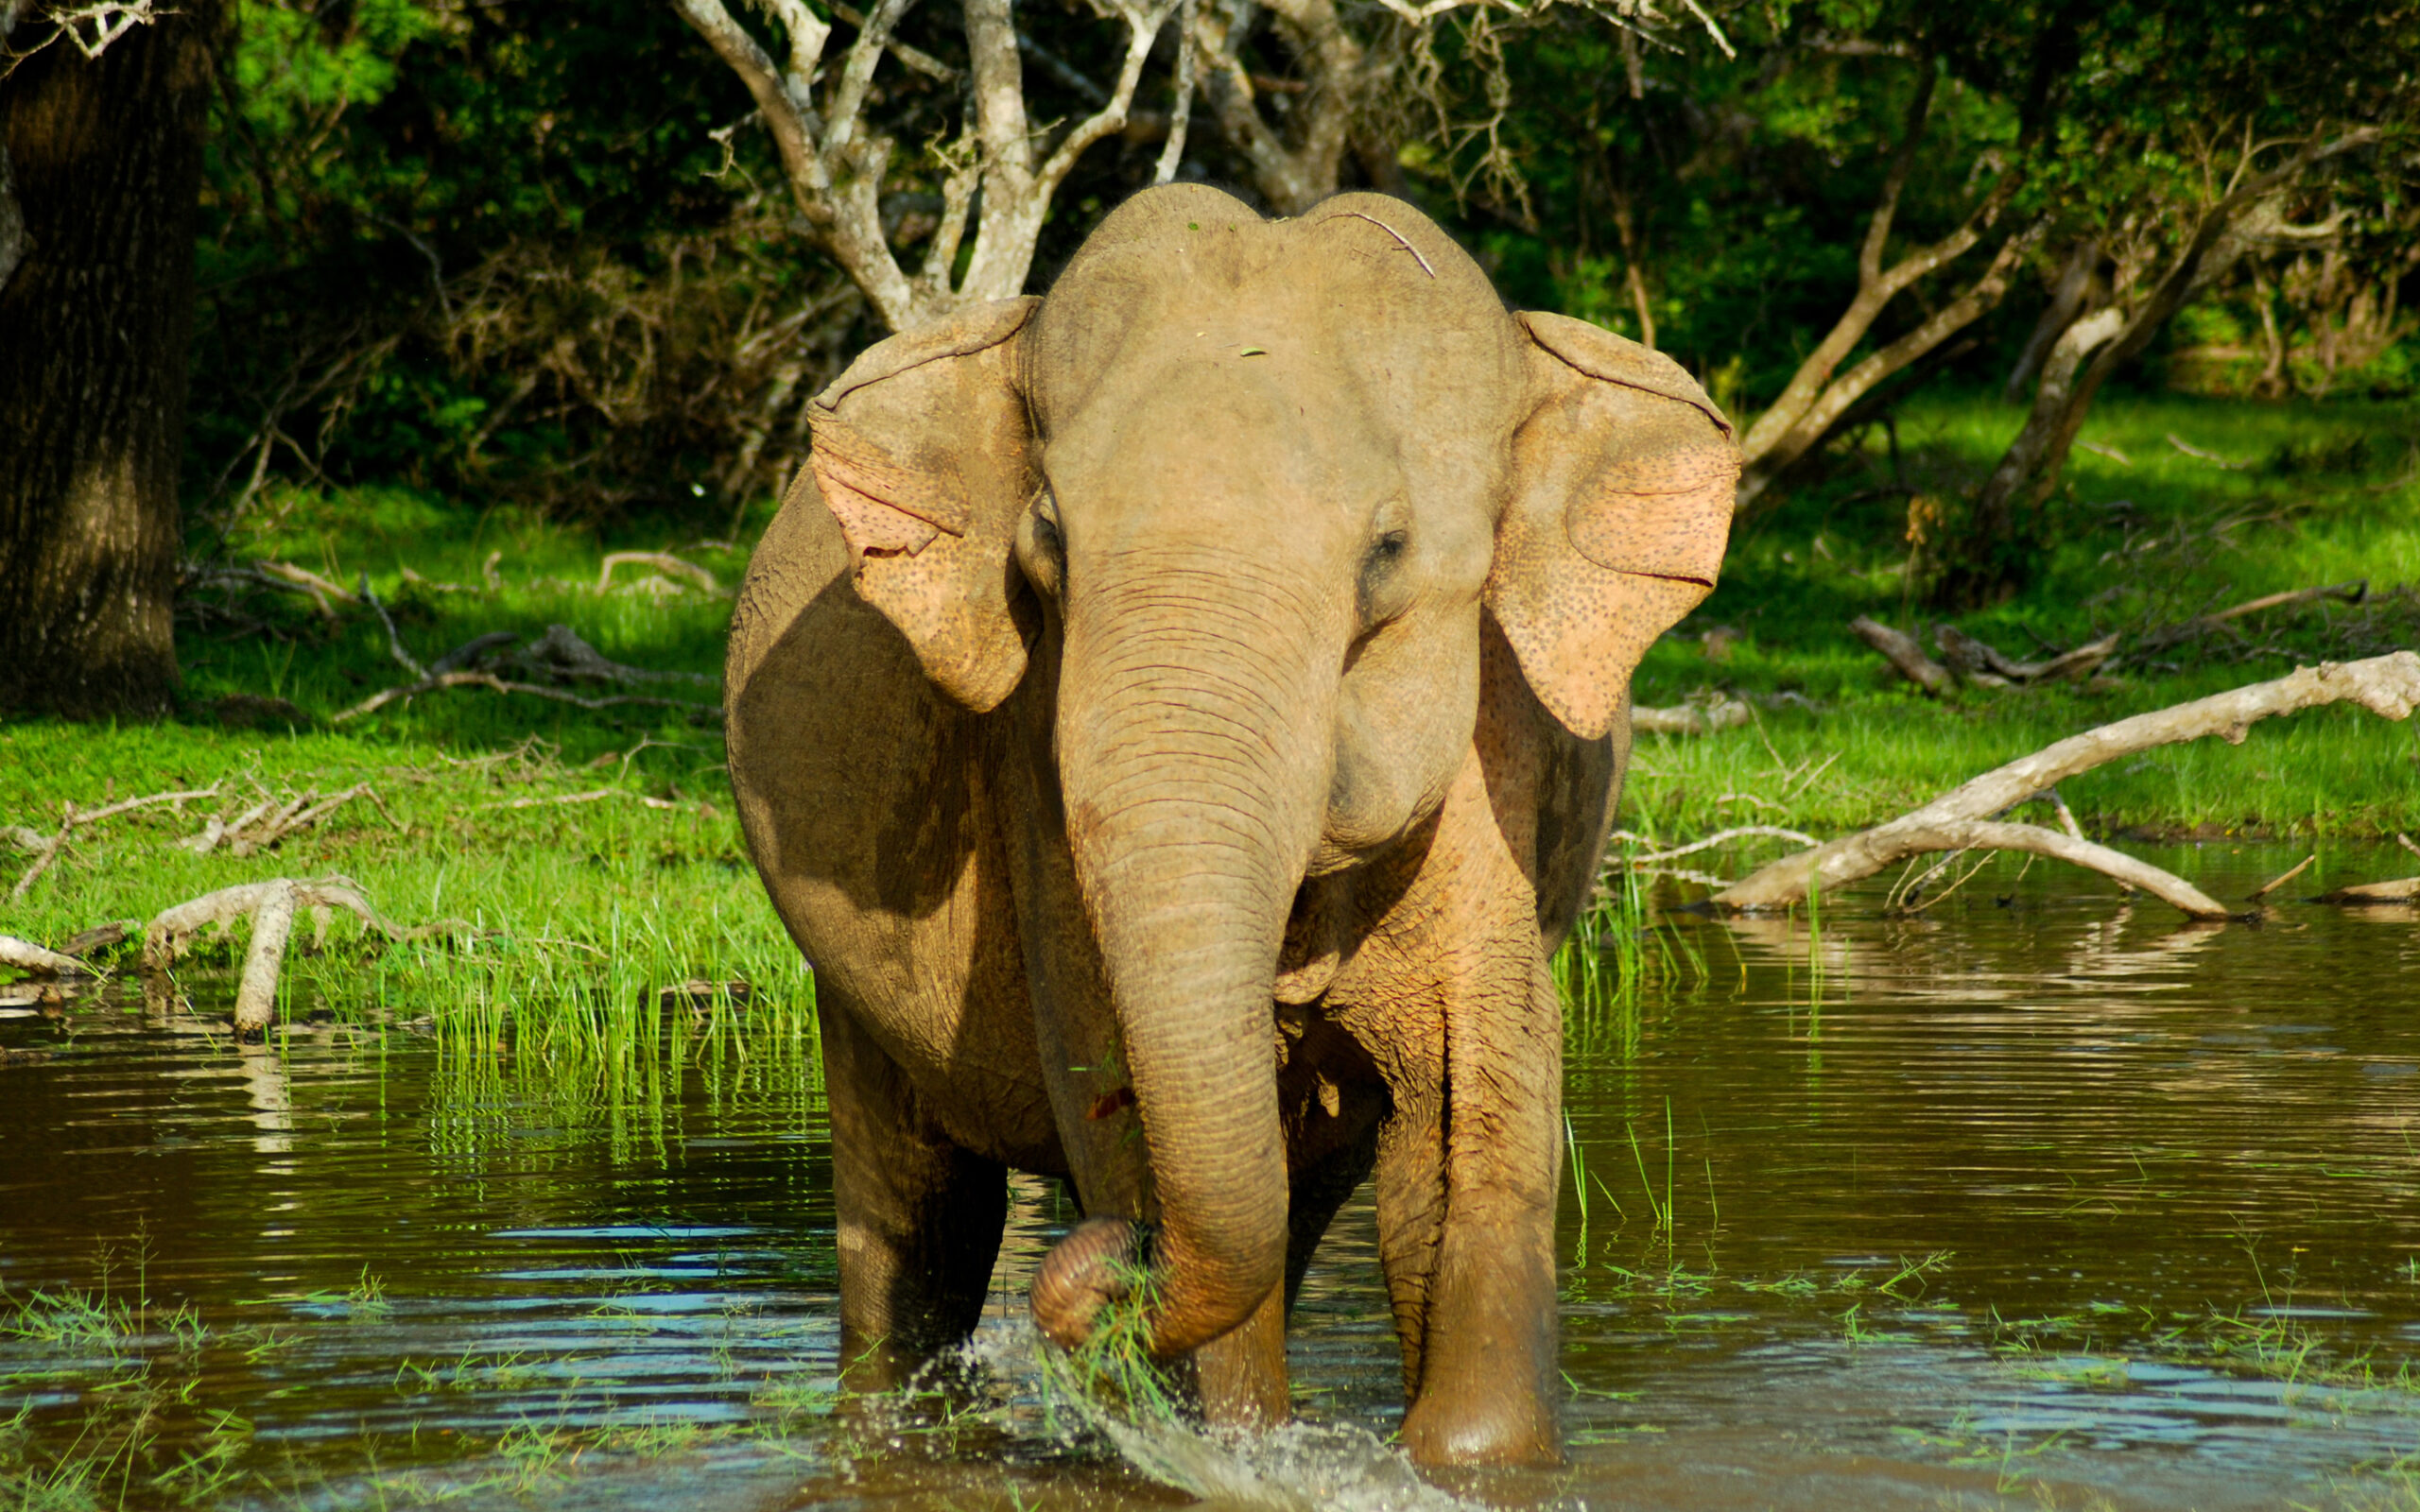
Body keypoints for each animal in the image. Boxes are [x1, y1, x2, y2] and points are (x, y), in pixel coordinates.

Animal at [725, 183, 1734, 1467]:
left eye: (1387, 550)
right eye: (1046, 543)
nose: (1108, 1267)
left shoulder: (1497, 759)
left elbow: (1473, 1092)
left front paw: (1458, 1458)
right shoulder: (1035, 768)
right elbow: (1106, 1073)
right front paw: (1229, 1445)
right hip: (853, 1000)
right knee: (911, 1214)